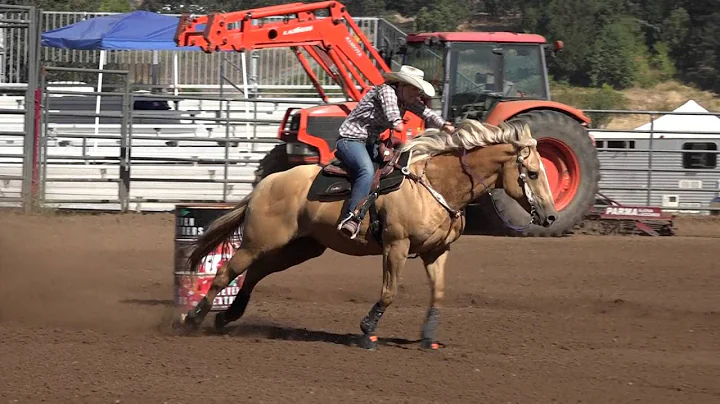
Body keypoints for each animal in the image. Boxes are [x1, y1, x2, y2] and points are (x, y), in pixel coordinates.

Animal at [174, 117, 556, 350]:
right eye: (533, 173)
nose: (550, 216)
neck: (436, 185)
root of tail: (266, 184)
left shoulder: (436, 252)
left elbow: (438, 293)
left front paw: (428, 337)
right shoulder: (395, 246)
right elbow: (389, 292)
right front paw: (367, 331)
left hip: (300, 247)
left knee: (254, 273)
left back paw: (227, 316)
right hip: (259, 241)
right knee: (226, 272)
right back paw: (193, 319)